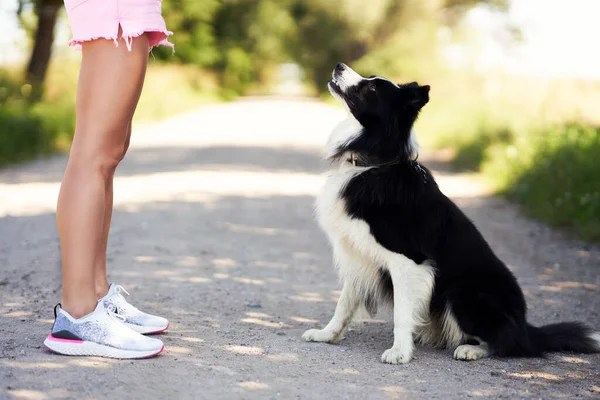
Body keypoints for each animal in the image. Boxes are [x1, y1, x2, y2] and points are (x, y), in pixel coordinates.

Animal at [302, 63, 596, 366]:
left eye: (371, 88)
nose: (339, 66)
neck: (373, 162)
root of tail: (526, 327)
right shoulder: (357, 254)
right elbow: (344, 303)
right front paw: (327, 335)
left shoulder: (408, 261)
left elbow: (400, 314)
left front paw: (400, 352)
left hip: (464, 292)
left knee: (506, 343)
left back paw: (471, 350)